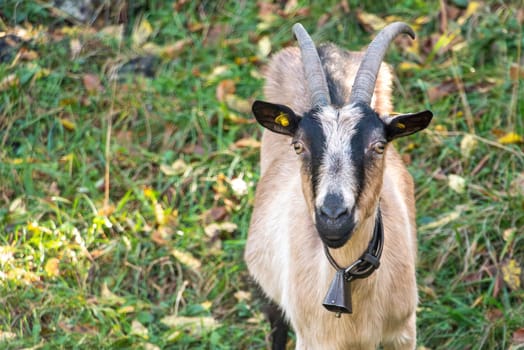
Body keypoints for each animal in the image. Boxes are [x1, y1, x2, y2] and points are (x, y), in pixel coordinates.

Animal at [244, 22, 432, 350]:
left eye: (379, 146)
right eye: (298, 146)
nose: (333, 217)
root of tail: (327, 49)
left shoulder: (403, 332)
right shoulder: (312, 340)